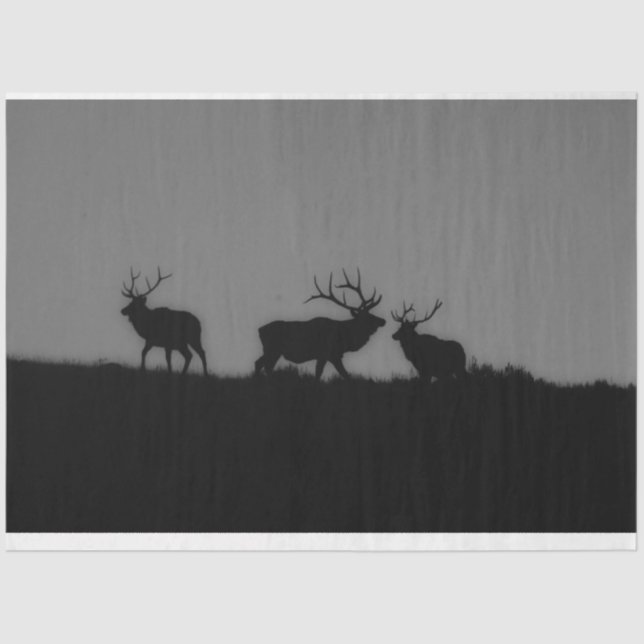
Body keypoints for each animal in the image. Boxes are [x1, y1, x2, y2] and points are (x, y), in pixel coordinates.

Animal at [255, 269, 385, 380]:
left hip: (271, 351)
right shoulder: (327, 354)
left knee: (259, 363)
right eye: (368, 317)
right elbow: (327, 374)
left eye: (371, 313)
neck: (343, 338)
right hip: (272, 349)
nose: (383, 320)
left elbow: (343, 374)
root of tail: (259, 330)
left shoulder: (332, 355)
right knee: (265, 366)